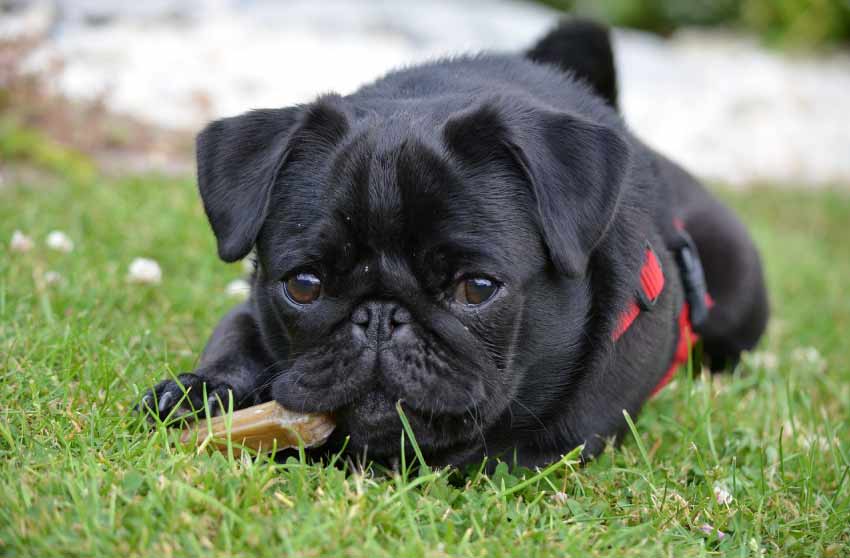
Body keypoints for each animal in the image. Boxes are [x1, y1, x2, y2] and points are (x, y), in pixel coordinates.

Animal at [141, 20, 768, 468]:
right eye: (304, 284)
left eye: (476, 289)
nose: (379, 315)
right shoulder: (250, 312)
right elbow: (234, 342)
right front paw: (199, 392)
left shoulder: (557, 440)